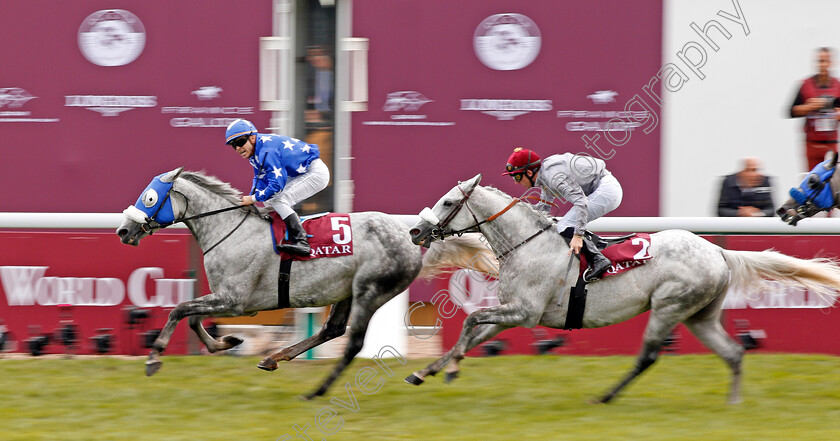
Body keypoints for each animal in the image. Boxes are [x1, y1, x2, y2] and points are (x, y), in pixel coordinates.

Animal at [115, 167, 424, 398]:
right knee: (332, 329)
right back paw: (273, 358)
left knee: (353, 343)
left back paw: (315, 392)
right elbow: (191, 318)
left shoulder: (235, 301)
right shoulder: (224, 298)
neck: (230, 230)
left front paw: (154, 358)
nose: (123, 231)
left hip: (369, 291)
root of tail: (408, 236)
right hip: (346, 291)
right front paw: (226, 342)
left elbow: (179, 310)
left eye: (150, 198)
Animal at [406, 174, 840, 404]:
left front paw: (451, 369)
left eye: (448, 202)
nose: (415, 231)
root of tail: (717, 249)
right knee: (733, 353)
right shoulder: (513, 313)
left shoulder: (525, 312)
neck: (527, 244)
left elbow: (471, 322)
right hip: (700, 316)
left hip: (668, 307)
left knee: (648, 357)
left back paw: (605, 397)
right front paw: (427, 371)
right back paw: (734, 404)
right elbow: (473, 332)